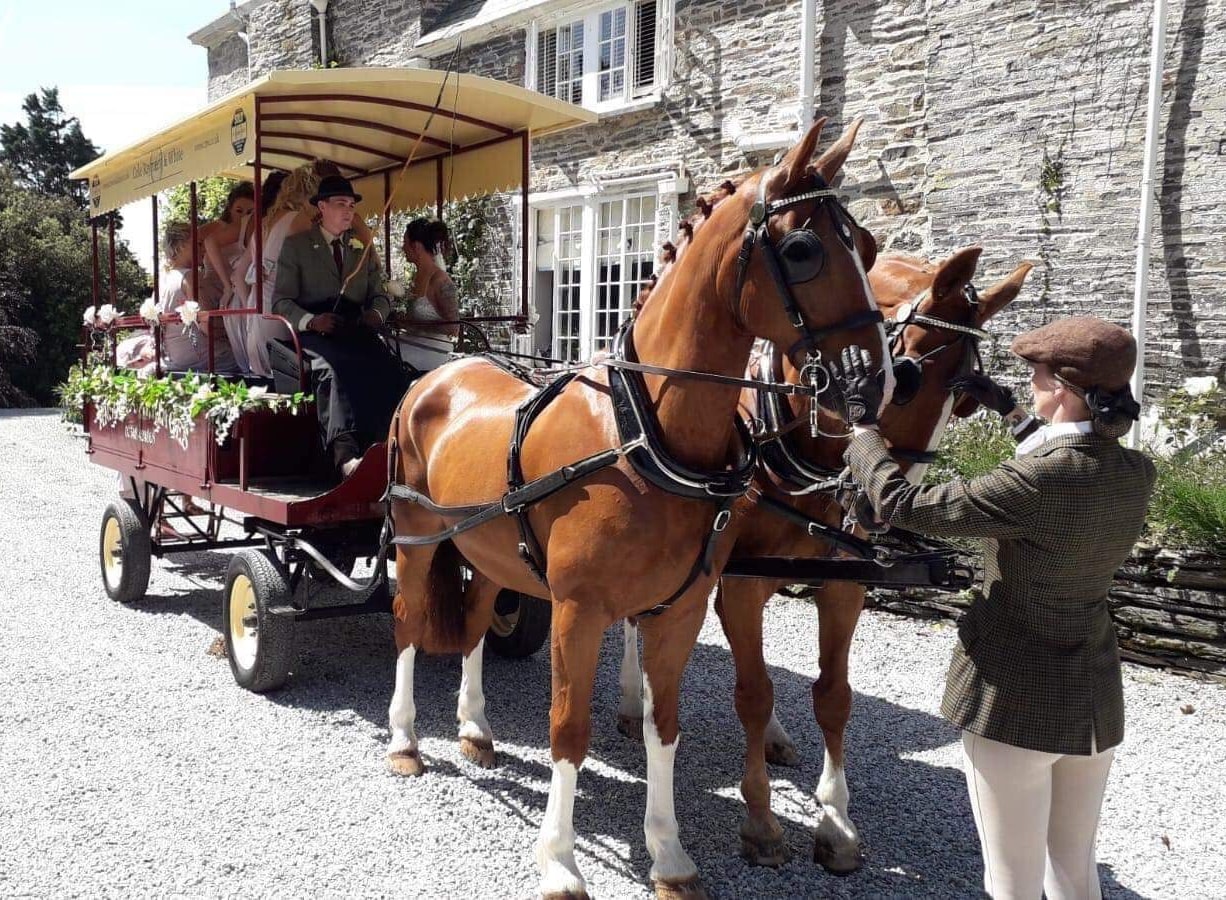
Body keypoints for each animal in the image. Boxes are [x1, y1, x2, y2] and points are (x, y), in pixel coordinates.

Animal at [382, 121, 892, 900]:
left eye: (864, 243)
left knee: (470, 625)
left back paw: (473, 728)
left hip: (490, 549)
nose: (882, 380)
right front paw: (560, 862)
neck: (645, 432)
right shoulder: (579, 609)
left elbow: (664, 725)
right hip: (416, 540)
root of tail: (435, 375)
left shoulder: (678, 609)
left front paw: (669, 854)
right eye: (804, 249)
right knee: (410, 623)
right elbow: (568, 729)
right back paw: (407, 739)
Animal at [622, 245, 1034, 873]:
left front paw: (837, 820)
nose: (877, 507)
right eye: (906, 376)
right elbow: (753, 691)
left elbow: (833, 697)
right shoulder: (740, 583)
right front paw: (762, 819)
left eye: (967, 399)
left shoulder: (843, 585)